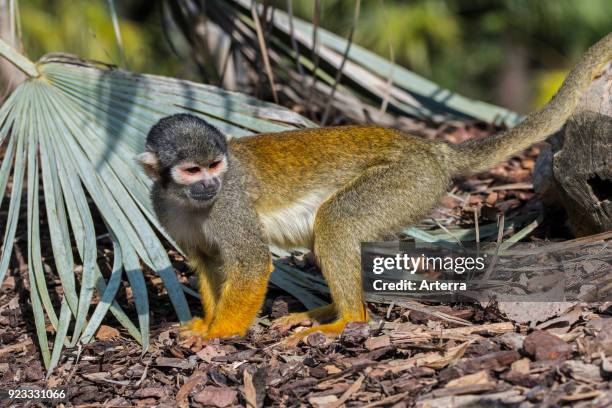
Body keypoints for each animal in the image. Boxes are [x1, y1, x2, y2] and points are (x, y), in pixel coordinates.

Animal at [137, 33, 612, 342]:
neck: (190, 201)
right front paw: (206, 323)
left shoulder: (230, 204)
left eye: (216, 166)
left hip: (407, 182)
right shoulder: (163, 206)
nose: (210, 183)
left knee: (337, 221)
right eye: (192, 171)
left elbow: (251, 264)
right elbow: (207, 263)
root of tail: (432, 150)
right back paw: (328, 311)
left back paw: (348, 320)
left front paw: (218, 333)